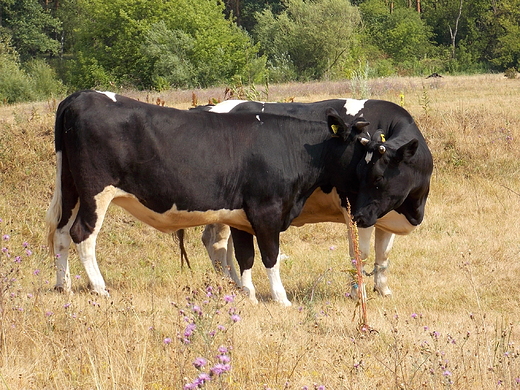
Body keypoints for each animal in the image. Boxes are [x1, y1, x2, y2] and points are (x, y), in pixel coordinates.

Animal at [45, 90, 390, 304]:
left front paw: (249, 294)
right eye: (362, 147)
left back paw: (64, 287)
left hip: (70, 187)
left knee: (61, 233)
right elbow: (270, 256)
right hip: (95, 192)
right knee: (82, 234)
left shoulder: (242, 217)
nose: (379, 169)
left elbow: (245, 257)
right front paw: (280, 299)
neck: (292, 146)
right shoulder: (266, 211)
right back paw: (99, 288)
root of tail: (81, 96)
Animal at [192, 98, 434, 302]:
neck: (412, 207)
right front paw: (358, 293)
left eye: (378, 177)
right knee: (218, 243)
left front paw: (383, 290)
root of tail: (213, 107)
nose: (360, 214)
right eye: (358, 175)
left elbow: (383, 254)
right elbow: (360, 254)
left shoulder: (387, 213)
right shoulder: (356, 212)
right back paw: (231, 284)